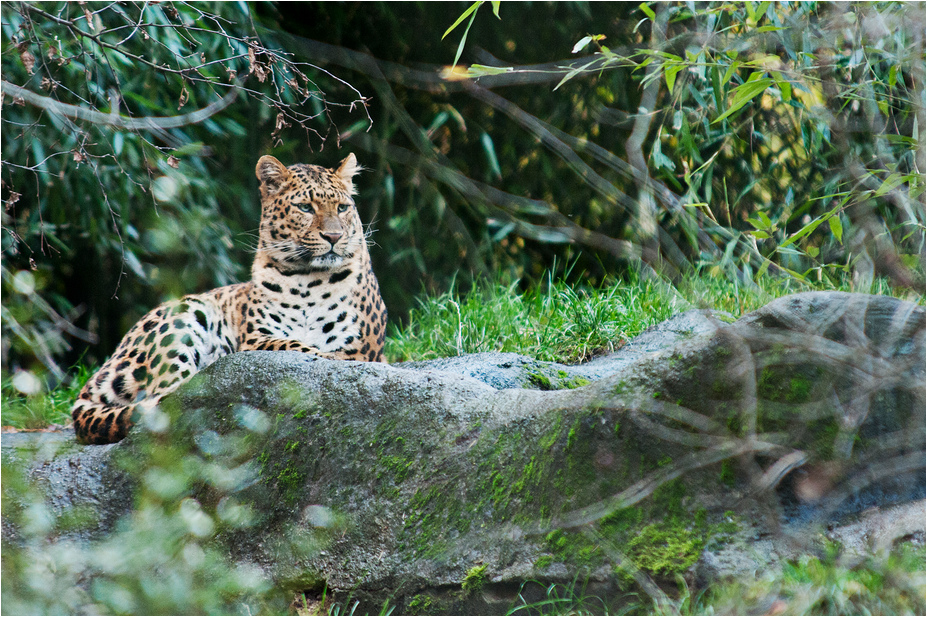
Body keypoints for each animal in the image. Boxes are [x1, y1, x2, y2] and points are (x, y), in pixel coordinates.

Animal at [71, 153, 387, 445]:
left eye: (343, 208)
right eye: (305, 207)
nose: (334, 236)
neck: (307, 278)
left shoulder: (358, 348)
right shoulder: (258, 338)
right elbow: (296, 347)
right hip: (184, 315)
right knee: (166, 399)